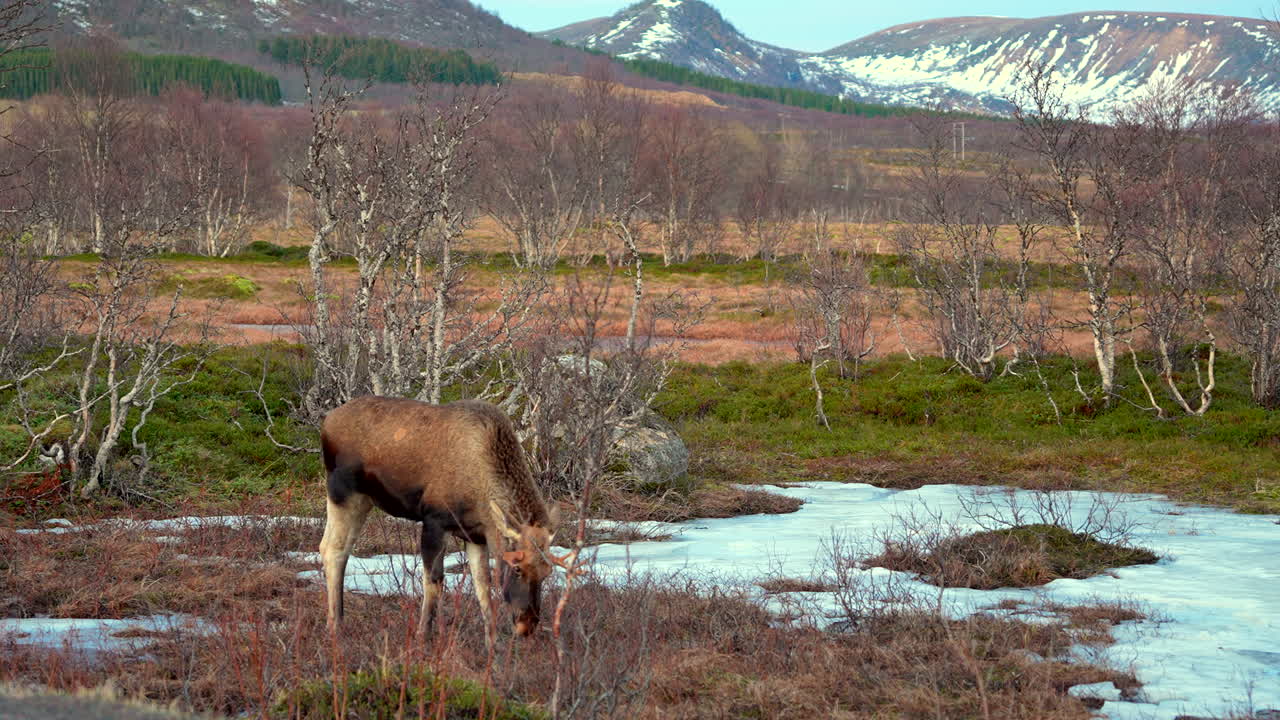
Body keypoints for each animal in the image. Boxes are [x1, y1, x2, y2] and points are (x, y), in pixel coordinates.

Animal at [318, 396, 568, 643]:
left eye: (548, 571)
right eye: (517, 568)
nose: (527, 625)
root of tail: (326, 422)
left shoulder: (475, 536)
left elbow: (483, 588)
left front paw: (492, 643)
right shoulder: (434, 521)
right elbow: (434, 582)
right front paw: (423, 637)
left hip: (364, 499)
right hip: (343, 492)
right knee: (332, 549)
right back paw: (335, 626)